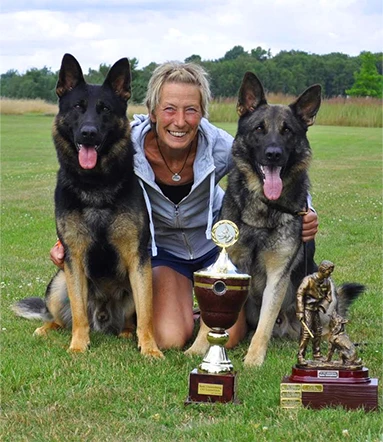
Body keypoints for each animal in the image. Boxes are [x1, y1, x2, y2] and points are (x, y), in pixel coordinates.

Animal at [12, 54, 163, 360]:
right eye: (78, 108)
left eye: (104, 109)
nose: (89, 133)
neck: (96, 186)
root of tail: (102, 319)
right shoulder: (74, 257)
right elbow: (79, 311)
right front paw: (78, 345)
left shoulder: (138, 258)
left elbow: (146, 314)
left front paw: (149, 348)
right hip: (60, 282)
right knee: (62, 318)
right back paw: (48, 329)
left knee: (130, 318)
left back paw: (127, 332)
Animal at [189, 72, 366, 366]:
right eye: (259, 129)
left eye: (287, 131)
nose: (274, 154)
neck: (264, 208)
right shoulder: (227, 266)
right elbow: (207, 318)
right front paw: (197, 348)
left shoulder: (277, 277)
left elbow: (265, 323)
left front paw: (253, 360)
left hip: (324, 297)